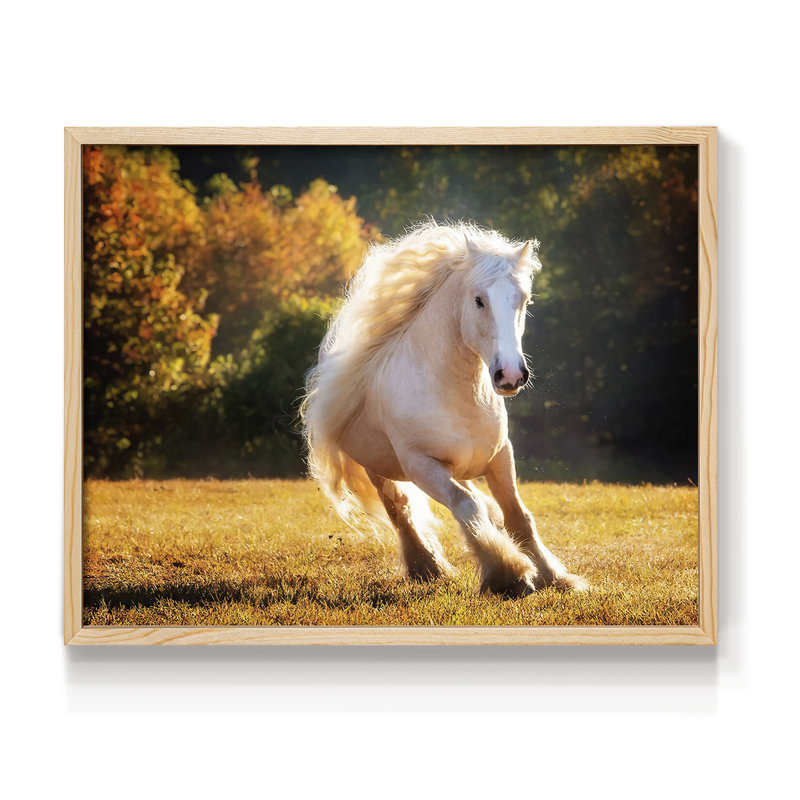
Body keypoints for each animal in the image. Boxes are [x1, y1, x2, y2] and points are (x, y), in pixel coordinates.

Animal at [301, 221, 586, 597]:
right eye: (479, 300)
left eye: (524, 300)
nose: (510, 375)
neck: (457, 394)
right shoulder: (422, 466)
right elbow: (467, 506)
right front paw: (508, 574)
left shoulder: (499, 456)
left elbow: (517, 515)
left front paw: (555, 576)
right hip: (379, 469)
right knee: (401, 509)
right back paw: (428, 567)